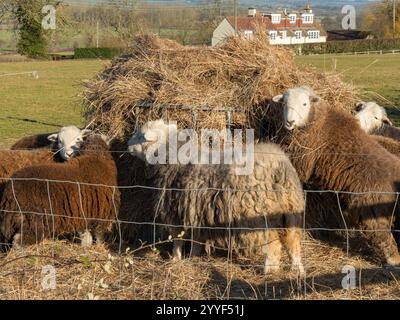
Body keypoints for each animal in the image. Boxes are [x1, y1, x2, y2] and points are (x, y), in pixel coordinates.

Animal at [128, 119, 306, 274]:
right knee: (293, 241)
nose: (128, 145)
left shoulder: (176, 210)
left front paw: (175, 259)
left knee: (273, 244)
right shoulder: (196, 212)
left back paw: (269, 270)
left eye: (141, 135)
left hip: (258, 214)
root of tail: (278, 165)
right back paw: (298, 270)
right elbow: (196, 238)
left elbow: (178, 238)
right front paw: (193, 257)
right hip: (291, 210)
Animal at [272, 86, 400, 266]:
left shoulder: (304, 160)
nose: (290, 122)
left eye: (304, 104)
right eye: (284, 103)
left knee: (382, 235)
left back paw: (393, 260)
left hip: (372, 207)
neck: (320, 120)